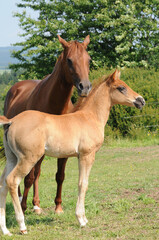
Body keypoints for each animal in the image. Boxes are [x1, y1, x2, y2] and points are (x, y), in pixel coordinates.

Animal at [0, 70, 145, 235]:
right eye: (121, 88)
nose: (141, 101)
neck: (90, 117)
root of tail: (11, 121)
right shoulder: (86, 156)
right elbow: (83, 184)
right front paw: (81, 220)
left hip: (12, 158)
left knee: (3, 183)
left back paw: (5, 230)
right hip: (27, 159)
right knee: (12, 181)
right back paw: (22, 226)